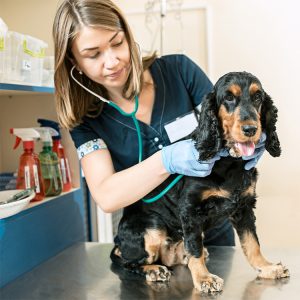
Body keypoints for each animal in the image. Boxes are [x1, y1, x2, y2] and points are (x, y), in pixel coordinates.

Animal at [110, 71, 290, 292]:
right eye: (229, 97)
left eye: (258, 97)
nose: (251, 129)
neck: (229, 161)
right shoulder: (190, 210)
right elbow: (195, 247)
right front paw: (204, 279)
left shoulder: (244, 207)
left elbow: (252, 243)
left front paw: (267, 268)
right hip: (152, 226)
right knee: (129, 262)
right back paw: (153, 270)